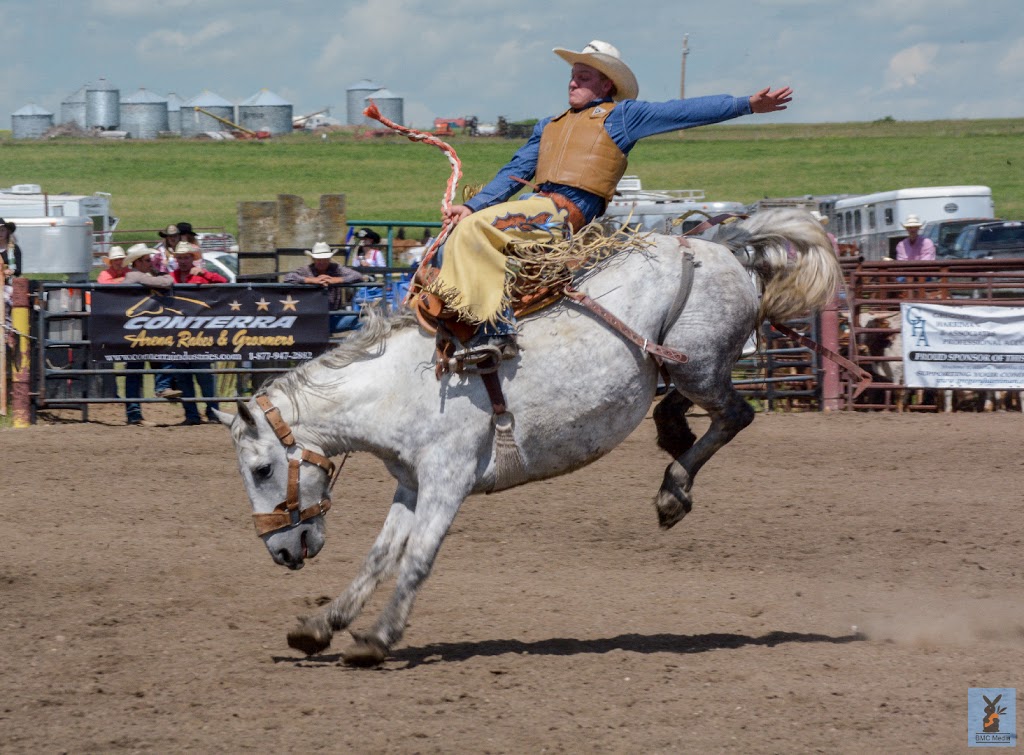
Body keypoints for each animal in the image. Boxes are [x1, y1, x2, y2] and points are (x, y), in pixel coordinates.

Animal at [220, 208, 843, 663]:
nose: (280, 551)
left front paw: (377, 639)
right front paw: (319, 625)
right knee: (688, 410)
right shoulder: (411, 483)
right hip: (685, 368)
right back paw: (672, 443)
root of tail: (724, 244)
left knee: (736, 416)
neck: (400, 385)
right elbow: (379, 555)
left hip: (702, 365)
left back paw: (673, 491)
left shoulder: (448, 480)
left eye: (261, 469)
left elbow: (418, 556)